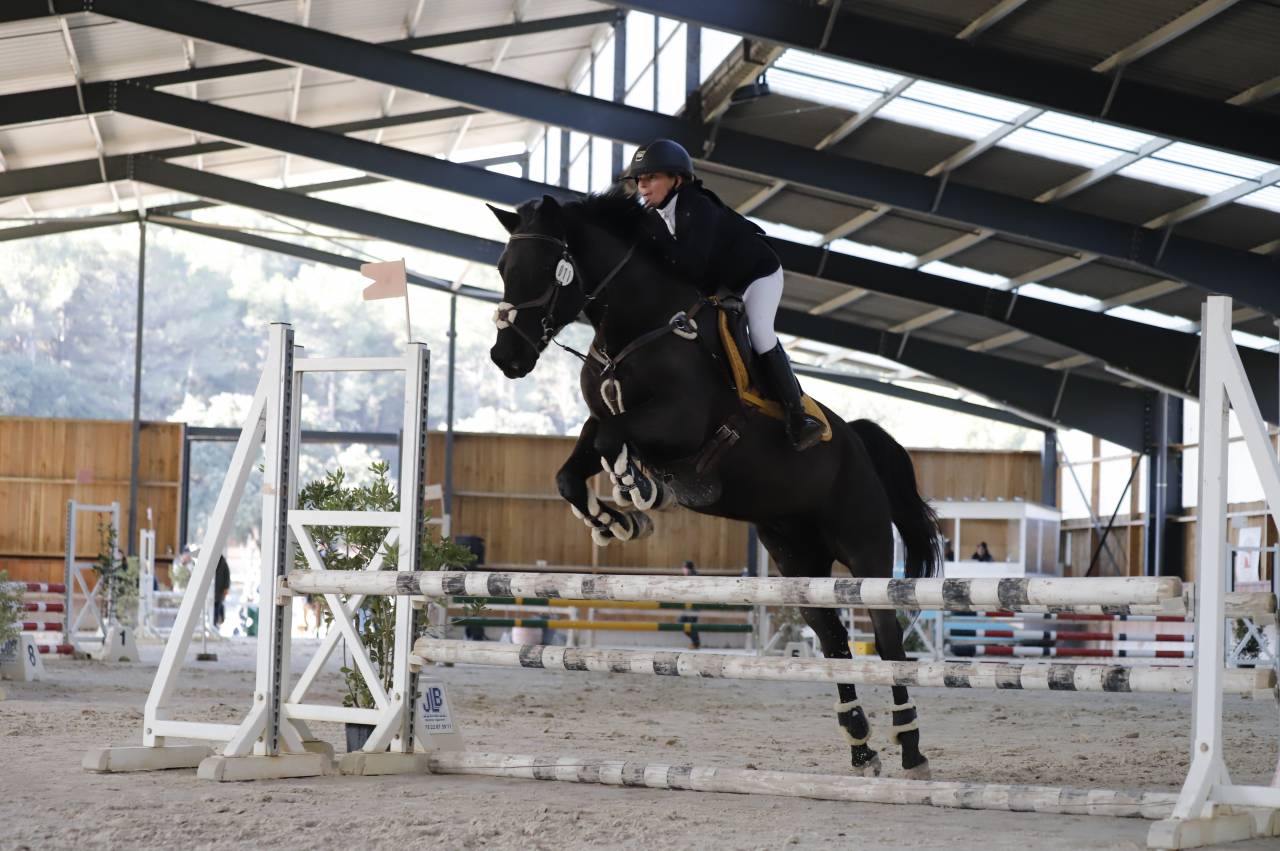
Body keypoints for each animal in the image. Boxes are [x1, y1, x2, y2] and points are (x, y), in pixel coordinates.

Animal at [487, 191, 942, 780]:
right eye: (503, 268)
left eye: (547, 269)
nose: (507, 358)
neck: (638, 324)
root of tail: (860, 443)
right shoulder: (602, 421)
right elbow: (572, 470)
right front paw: (616, 520)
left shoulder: (680, 422)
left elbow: (614, 440)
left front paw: (639, 488)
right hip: (798, 560)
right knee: (833, 638)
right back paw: (861, 746)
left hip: (864, 550)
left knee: (887, 641)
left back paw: (911, 750)